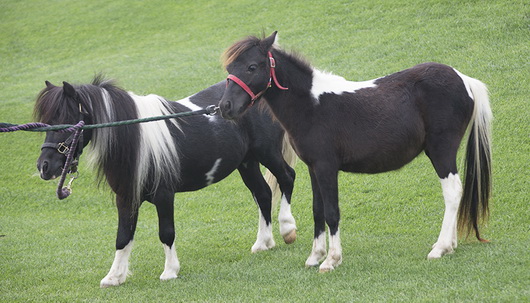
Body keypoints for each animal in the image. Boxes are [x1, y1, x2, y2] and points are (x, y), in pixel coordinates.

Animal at [218, 32, 490, 274]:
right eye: (230, 68)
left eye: (252, 66)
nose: (225, 107)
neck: (311, 104)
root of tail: (464, 80)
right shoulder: (314, 168)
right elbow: (317, 210)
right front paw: (315, 256)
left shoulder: (327, 167)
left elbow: (332, 212)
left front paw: (331, 260)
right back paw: (449, 245)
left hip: (441, 152)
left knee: (452, 192)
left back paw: (440, 248)